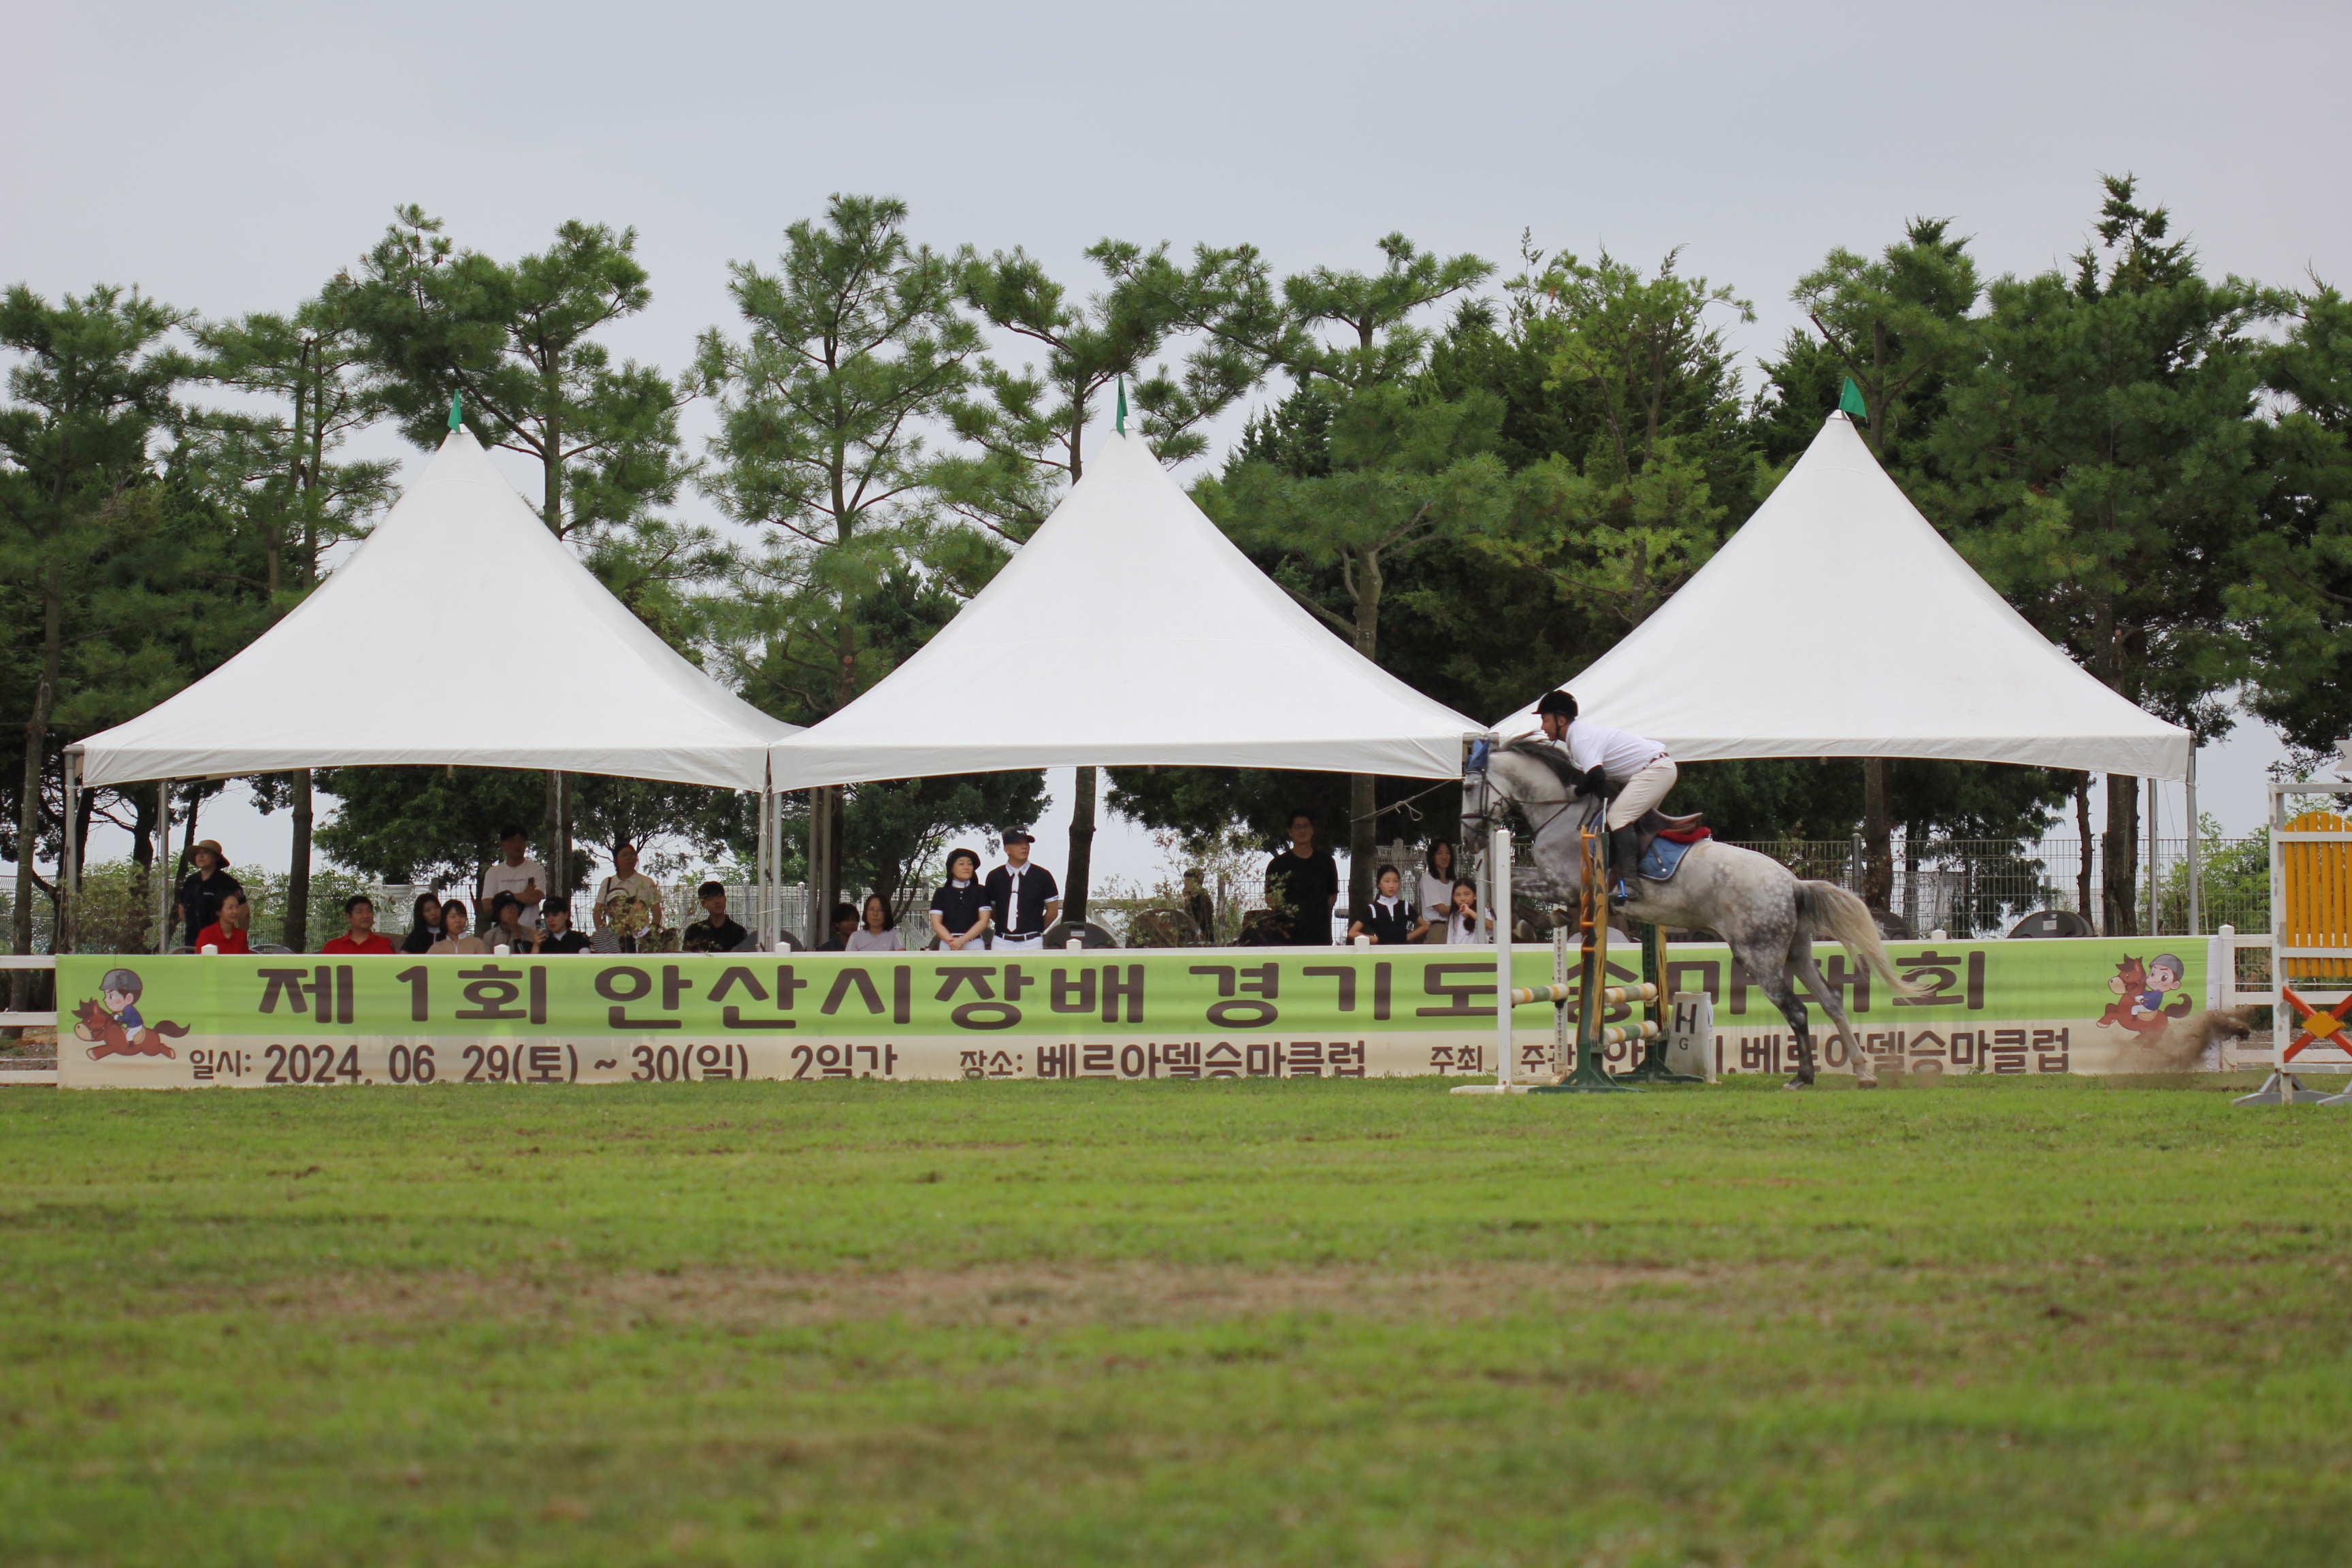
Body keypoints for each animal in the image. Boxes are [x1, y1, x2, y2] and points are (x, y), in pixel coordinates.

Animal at [1458, 738, 1919, 1085]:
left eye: (1468, 786)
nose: (1468, 837)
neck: (1562, 812)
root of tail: (1791, 882)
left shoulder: (1563, 882)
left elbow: (1508, 884)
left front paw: (1521, 921)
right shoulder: (1567, 888)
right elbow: (1525, 889)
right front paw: (1543, 921)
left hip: (1758, 954)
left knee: (1798, 1009)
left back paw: (1803, 1077)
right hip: (1797, 952)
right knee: (1832, 1002)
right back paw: (1862, 1072)